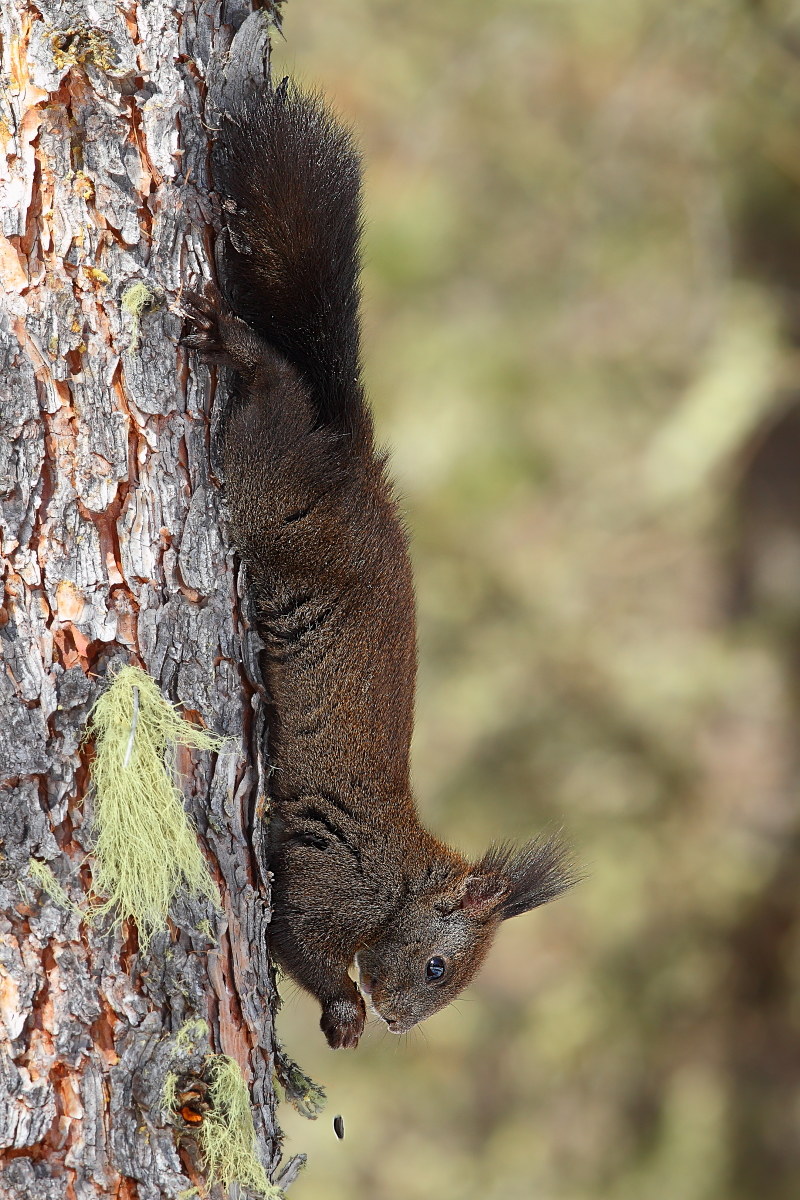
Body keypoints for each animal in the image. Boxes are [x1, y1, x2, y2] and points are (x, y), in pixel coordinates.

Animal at [182, 68, 577, 1050]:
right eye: (438, 968)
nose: (402, 1025)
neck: (402, 876)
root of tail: (354, 456)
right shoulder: (332, 884)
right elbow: (297, 940)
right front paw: (344, 1011)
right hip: (269, 490)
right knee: (279, 387)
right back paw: (237, 344)